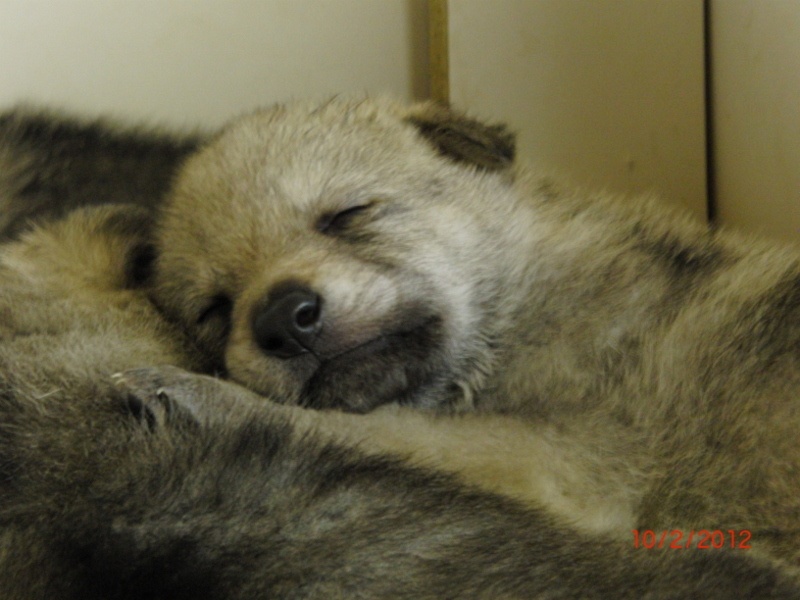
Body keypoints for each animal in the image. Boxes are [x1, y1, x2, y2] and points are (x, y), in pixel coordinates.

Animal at [148, 97, 800, 568]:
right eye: (215, 308)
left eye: (348, 214)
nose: (282, 318)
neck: (517, 305)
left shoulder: (558, 458)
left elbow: (362, 429)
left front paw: (199, 396)